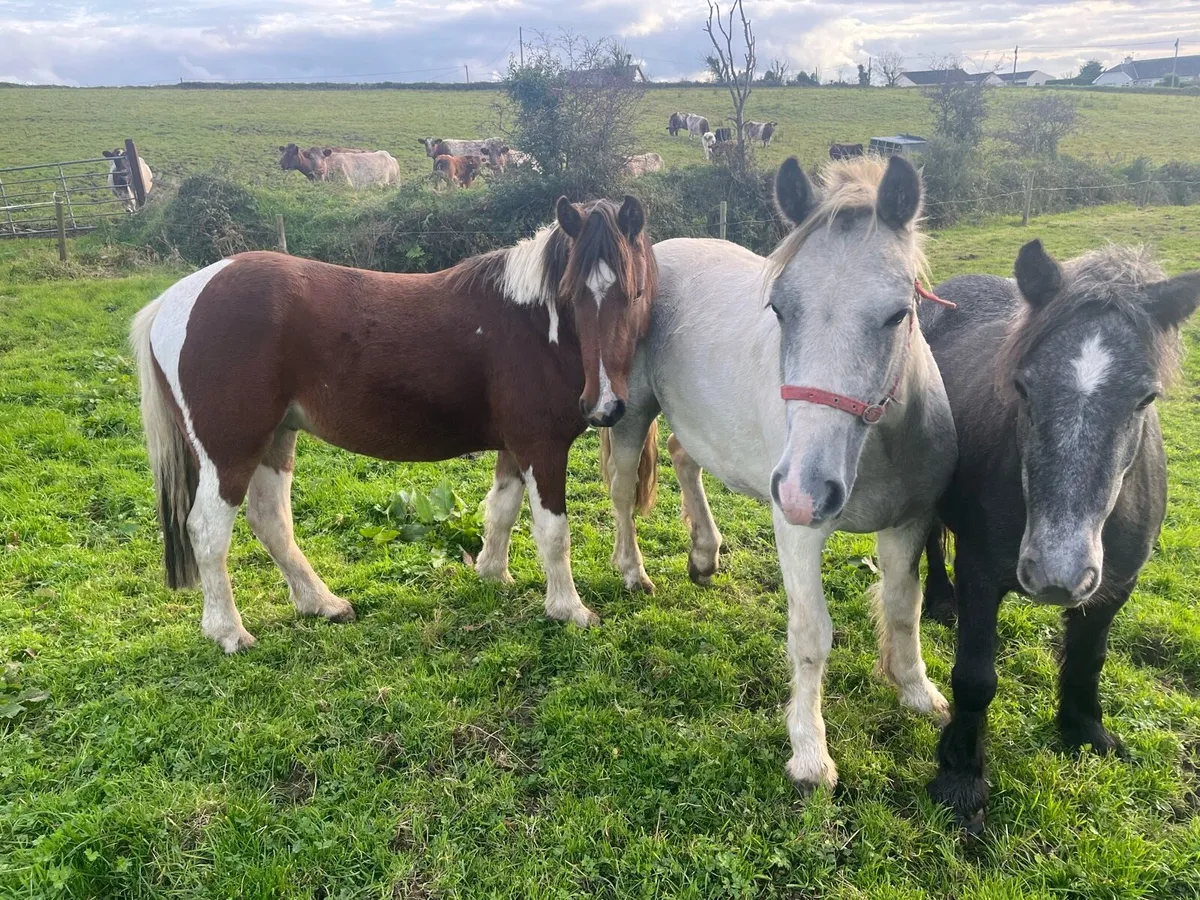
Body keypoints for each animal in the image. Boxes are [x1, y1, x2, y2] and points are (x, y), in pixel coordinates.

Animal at [131, 196, 656, 653]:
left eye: (634, 293)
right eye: (571, 295)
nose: (605, 407)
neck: (531, 322)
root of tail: (172, 303)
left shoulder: (515, 446)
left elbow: (501, 511)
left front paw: (492, 574)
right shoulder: (541, 447)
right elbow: (553, 532)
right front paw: (569, 610)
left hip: (275, 439)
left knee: (270, 522)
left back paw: (322, 604)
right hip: (231, 451)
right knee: (207, 530)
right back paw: (229, 633)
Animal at [597, 155, 956, 791]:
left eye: (899, 313)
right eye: (781, 309)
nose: (804, 491)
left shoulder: (909, 523)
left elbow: (902, 607)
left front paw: (918, 691)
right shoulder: (798, 532)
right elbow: (812, 635)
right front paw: (809, 751)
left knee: (684, 457)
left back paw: (704, 554)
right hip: (633, 411)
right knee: (621, 491)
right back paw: (633, 571)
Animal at [917, 241, 1200, 830]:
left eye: (1146, 398)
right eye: (1023, 386)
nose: (1056, 573)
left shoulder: (1115, 586)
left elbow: (1089, 658)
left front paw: (1084, 730)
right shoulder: (980, 575)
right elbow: (975, 677)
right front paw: (960, 778)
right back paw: (939, 602)